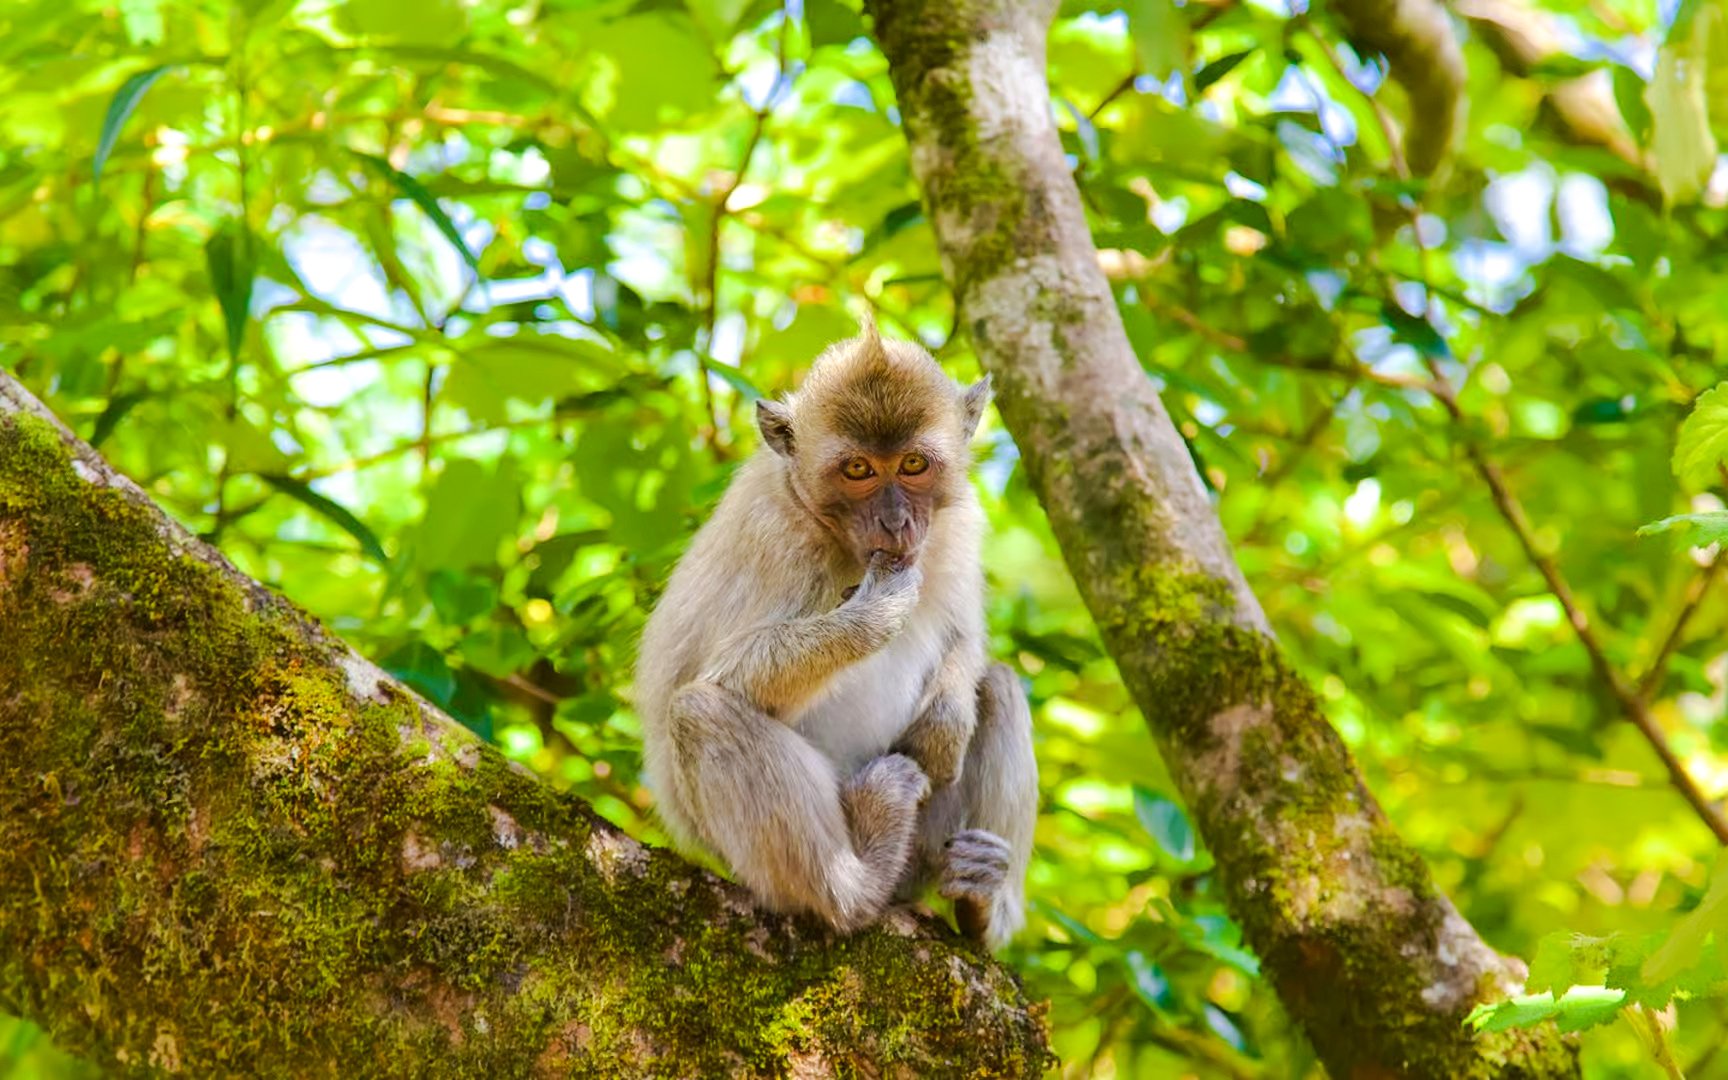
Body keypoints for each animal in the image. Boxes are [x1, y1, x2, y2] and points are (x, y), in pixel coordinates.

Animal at [633, 314, 1037, 949]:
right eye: (858, 470)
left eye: (913, 465)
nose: (896, 522)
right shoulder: (775, 535)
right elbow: (726, 675)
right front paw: (873, 614)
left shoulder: (959, 521)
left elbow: (966, 636)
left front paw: (944, 726)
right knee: (699, 713)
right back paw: (855, 884)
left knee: (997, 685)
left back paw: (981, 903)